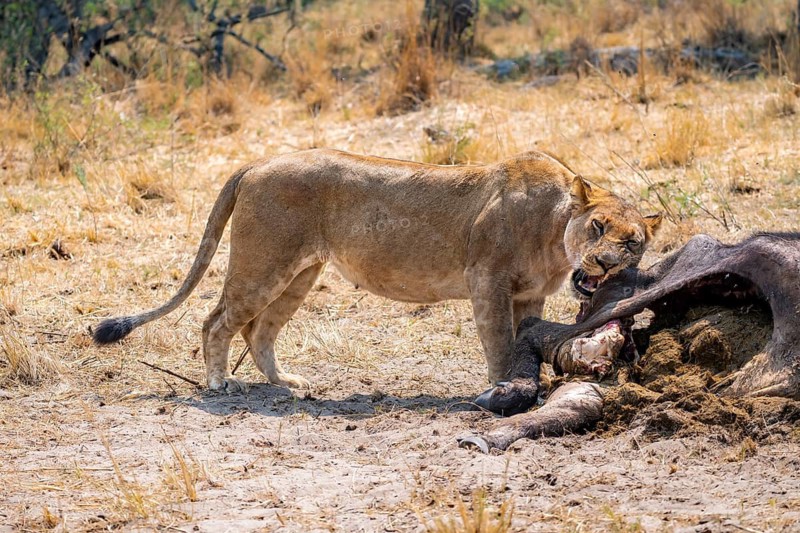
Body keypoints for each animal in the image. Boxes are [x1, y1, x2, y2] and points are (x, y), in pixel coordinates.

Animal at [93, 149, 661, 393]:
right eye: (597, 228)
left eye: (632, 242)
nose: (604, 262)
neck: (554, 232)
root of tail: (256, 162)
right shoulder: (487, 280)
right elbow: (500, 343)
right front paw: (504, 390)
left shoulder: (529, 295)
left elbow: (526, 339)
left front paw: (526, 384)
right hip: (264, 264)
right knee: (217, 321)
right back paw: (217, 385)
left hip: (299, 274)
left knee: (259, 331)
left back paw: (286, 382)